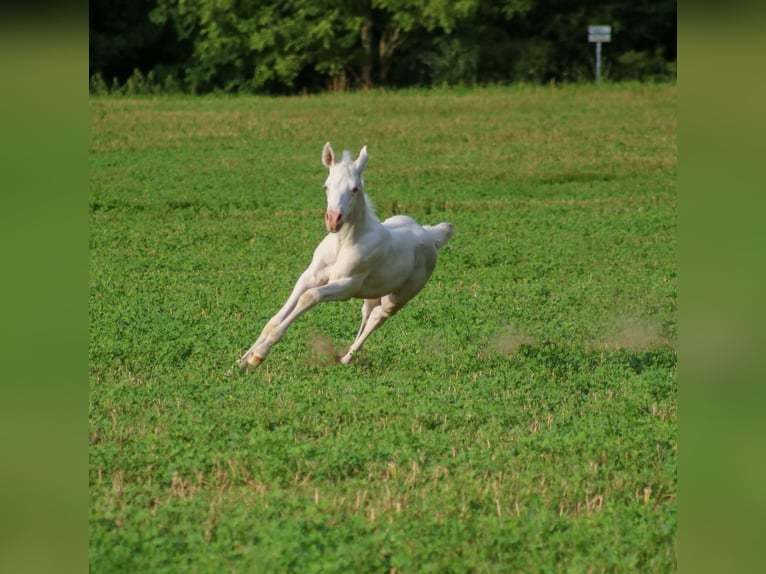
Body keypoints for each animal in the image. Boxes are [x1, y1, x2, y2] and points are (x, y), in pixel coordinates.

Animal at [238, 143, 456, 368]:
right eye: (326, 186)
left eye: (355, 188)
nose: (333, 219)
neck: (343, 243)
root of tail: (429, 234)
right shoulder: (311, 275)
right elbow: (276, 317)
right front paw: (242, 361)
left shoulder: (347, 285)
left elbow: (309, 297)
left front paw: (259, 355)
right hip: (374, 292)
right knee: (367, 313)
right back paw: (346, 357)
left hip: (401, 295)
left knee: (379, 316)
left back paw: (345, 360)